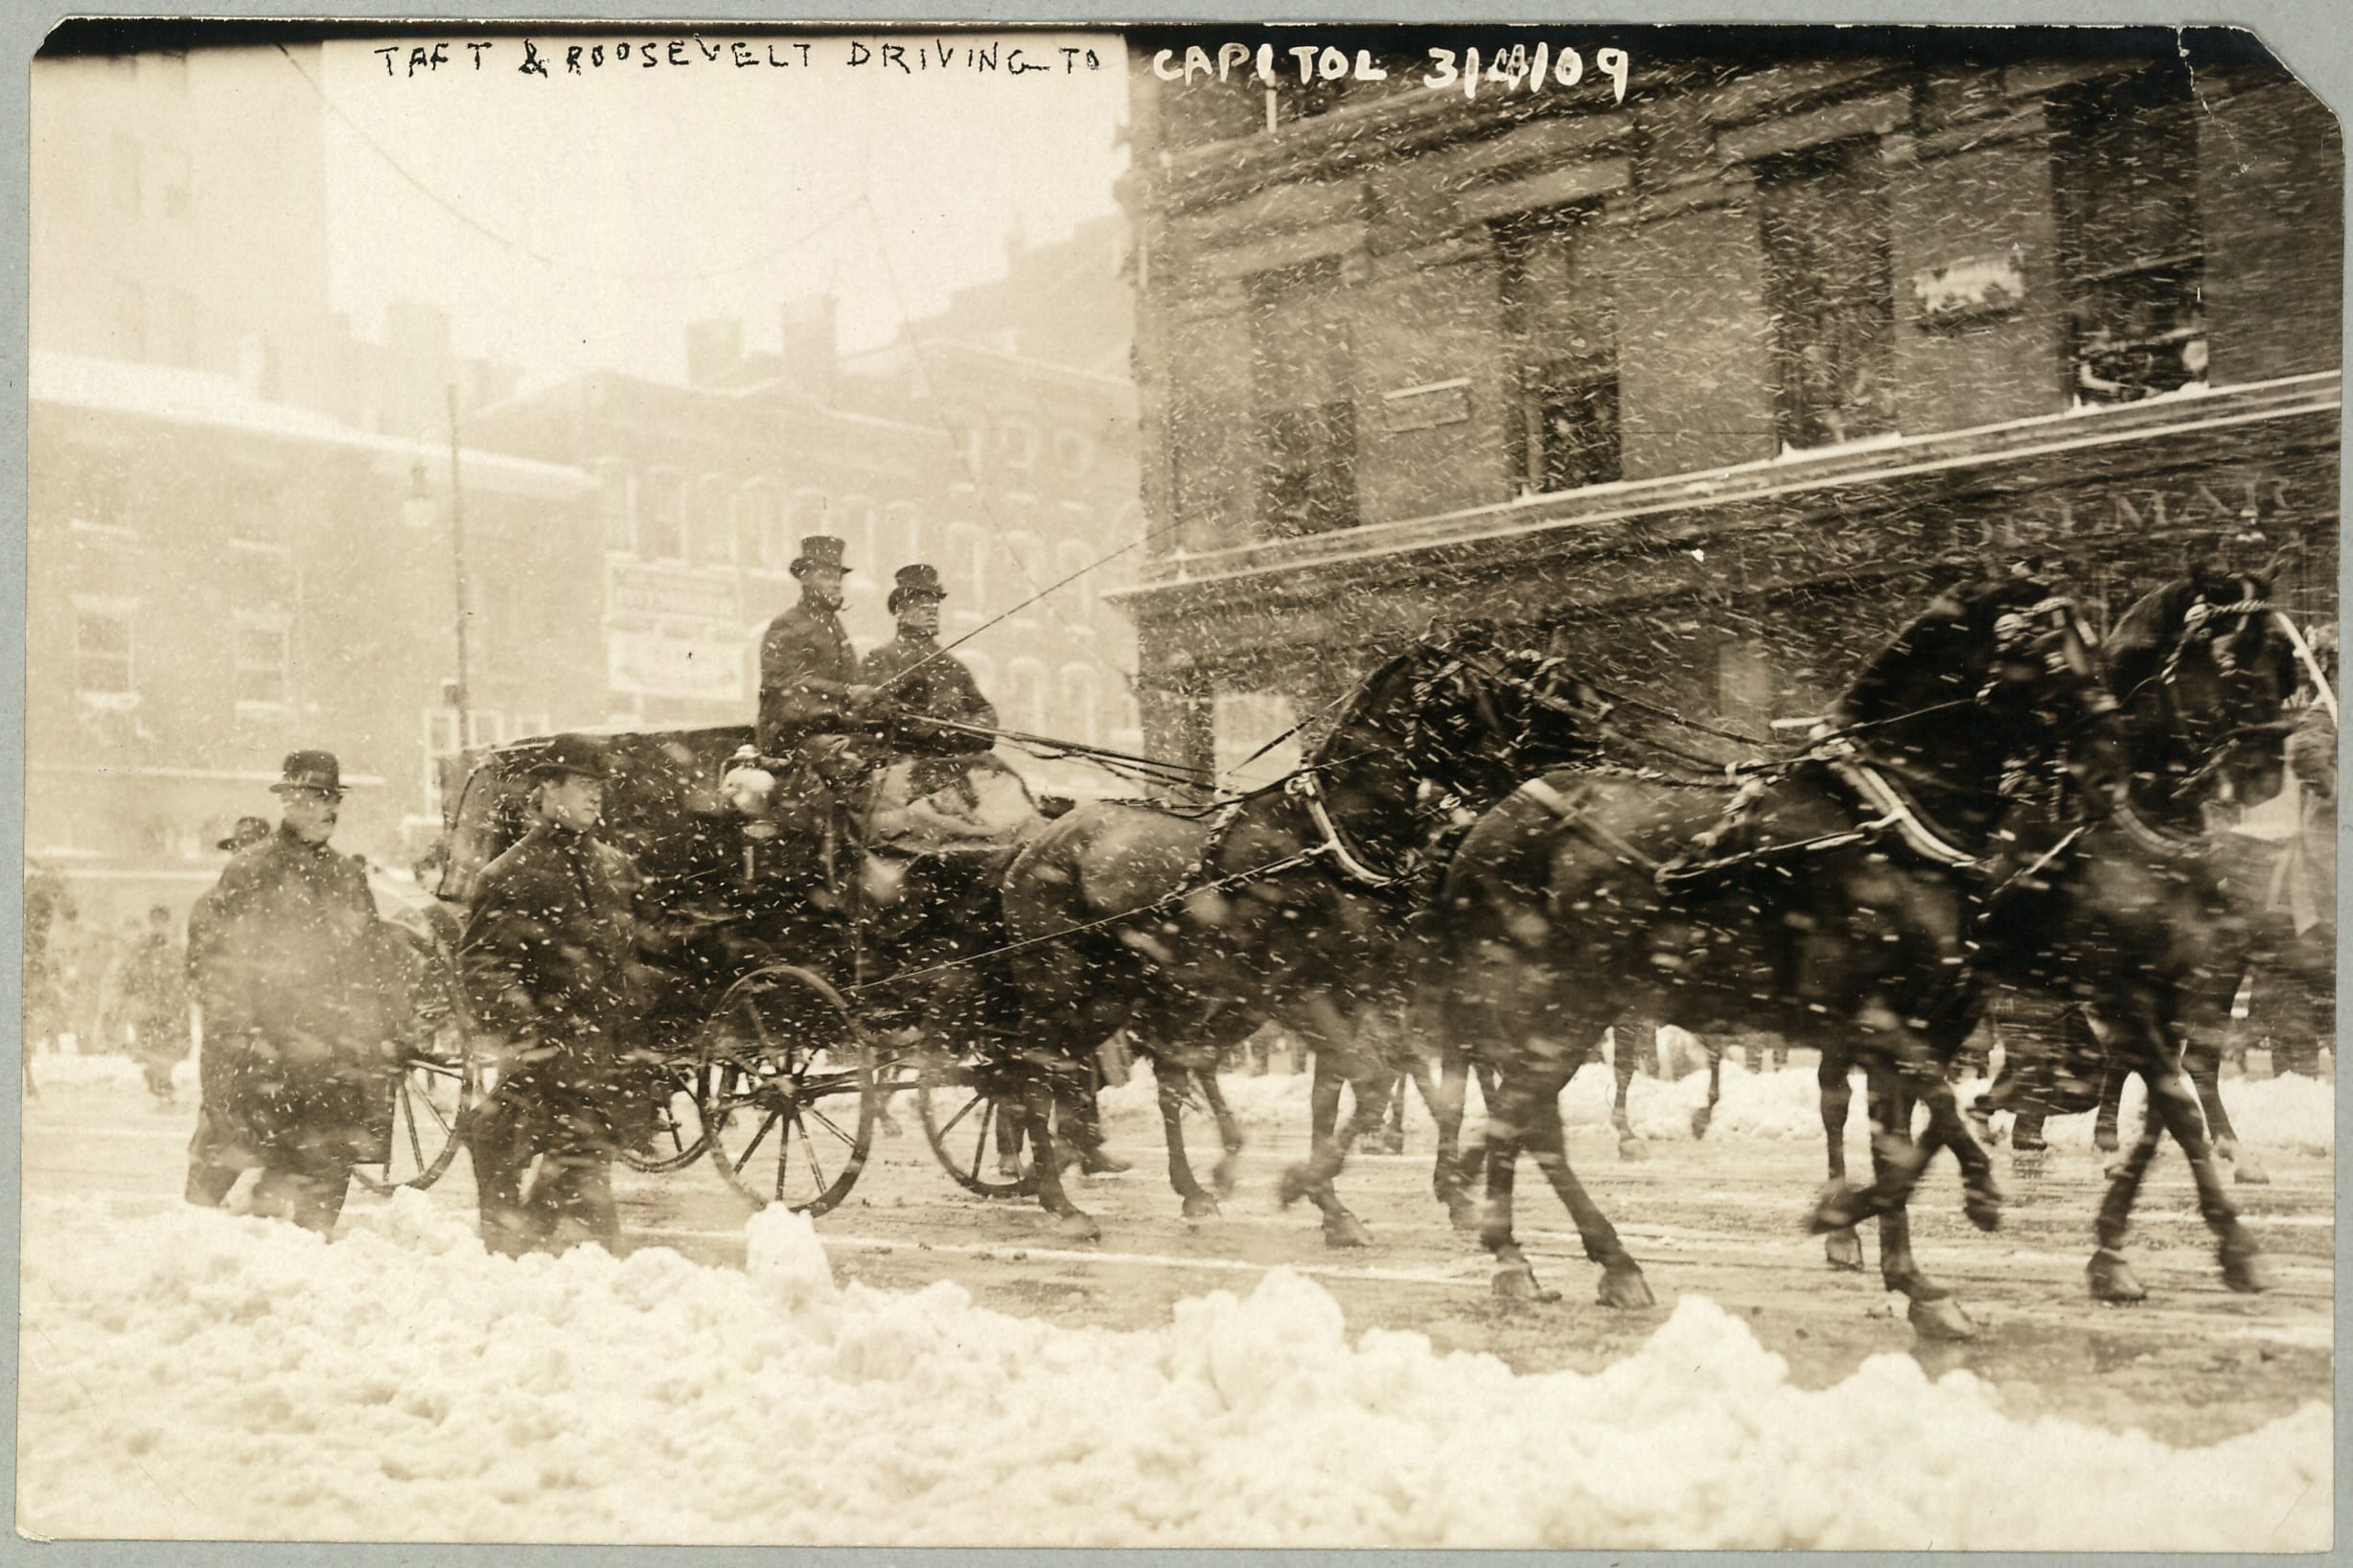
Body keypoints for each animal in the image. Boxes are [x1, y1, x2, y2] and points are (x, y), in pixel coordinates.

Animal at [993, 621, 1600, 1234]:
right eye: (1476, 689)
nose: (1594, 736)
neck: (1327, 841)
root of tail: (1036, 843)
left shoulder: (1361, 992)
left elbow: (1339, 1095)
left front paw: (1336, 1204)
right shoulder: (1305, 992)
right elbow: (1376, 1081)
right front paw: (1316, 1185)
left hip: (1120, 995)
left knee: (1124, 1071)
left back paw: (1166, 1180)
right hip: (1064, 985)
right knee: (1036, 1073)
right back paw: (1060, 1197)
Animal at [1420, 574, 2127, 1327]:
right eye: (2048, 656)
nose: (2110, 773)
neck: (1881, 823)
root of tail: (1484, 828)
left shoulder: (1926, 1022)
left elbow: (1906, 1142)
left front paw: (1910, 1277)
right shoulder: (1868, 1017)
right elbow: (1930, 1117)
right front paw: (1946, 1201)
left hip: (1577, 1009)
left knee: (1523, 1116)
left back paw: (1567, 1255)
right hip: (1546, 1004)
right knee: (1524, 1118)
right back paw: (1523, 1255)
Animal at [1967, 567, 2296, 1299]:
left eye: (2283, 665)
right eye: (2229, 663)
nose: (2262, 776)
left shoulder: (2170, 987)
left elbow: (2165, 1112)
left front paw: (2122, 1243)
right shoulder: (2119, 985)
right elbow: (2171, 1103)